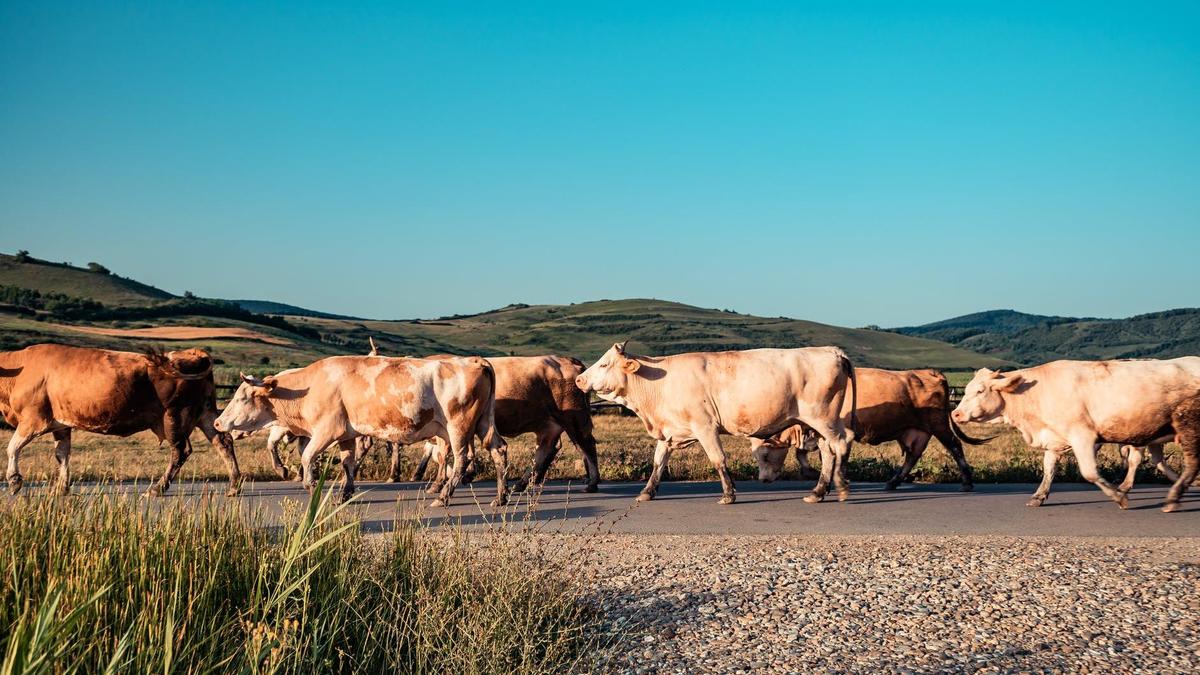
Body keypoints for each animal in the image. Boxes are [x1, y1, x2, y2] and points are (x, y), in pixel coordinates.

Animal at [0, 341, 241, 494]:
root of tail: (192, 353)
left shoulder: (33, 420)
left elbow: (12, 448)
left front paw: (14, 480)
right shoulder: (61, 425)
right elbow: (62, 455)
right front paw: (62, 487)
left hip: (175, 416)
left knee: (181, 451)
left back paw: (157, 488)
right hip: (205, 412)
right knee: (223, 442)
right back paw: (233, 485)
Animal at [213, 353, 504, 504]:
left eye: (242, 397)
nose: (216, 422)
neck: (309, 387)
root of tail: (475, 360)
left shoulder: (326, 431)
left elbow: (307, 457)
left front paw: (311, 486)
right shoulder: (346, 434)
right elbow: (347, 463)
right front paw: (345, 493)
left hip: (458, 426)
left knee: (461, 458)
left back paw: (443, 496)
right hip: (483, 422)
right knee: (498, 450)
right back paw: (500, 497)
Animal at [571, 343, 854, 502]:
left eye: (604, 364)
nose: (579, 380)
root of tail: (831, 351)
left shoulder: (705, 426)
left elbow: (718, 459)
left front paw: (729, 493)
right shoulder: (670, 431)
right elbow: (658, 463)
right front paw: (647, 492)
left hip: (823, 417)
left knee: (840, 444)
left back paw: (840, 486)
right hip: (817, 424)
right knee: (828, 452)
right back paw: (818, 491)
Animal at [748, 367, 993, 487]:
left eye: (765, 455)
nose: (762, 480)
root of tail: (930, 372)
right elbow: (803, 454)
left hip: (937, 423)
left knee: (955, 446)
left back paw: (967, 482)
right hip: (917, 430)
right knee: (913, 455)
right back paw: (893, 482)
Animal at [955, 357, 1200, 509]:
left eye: (980, 391)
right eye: (966, 390)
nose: (956, 414)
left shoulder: (1083, 437)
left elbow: (1089, 472)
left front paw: (1118, 496)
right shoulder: (1054, 438)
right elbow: (1048, 469)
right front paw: (1039, 496)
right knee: (1158, 461)